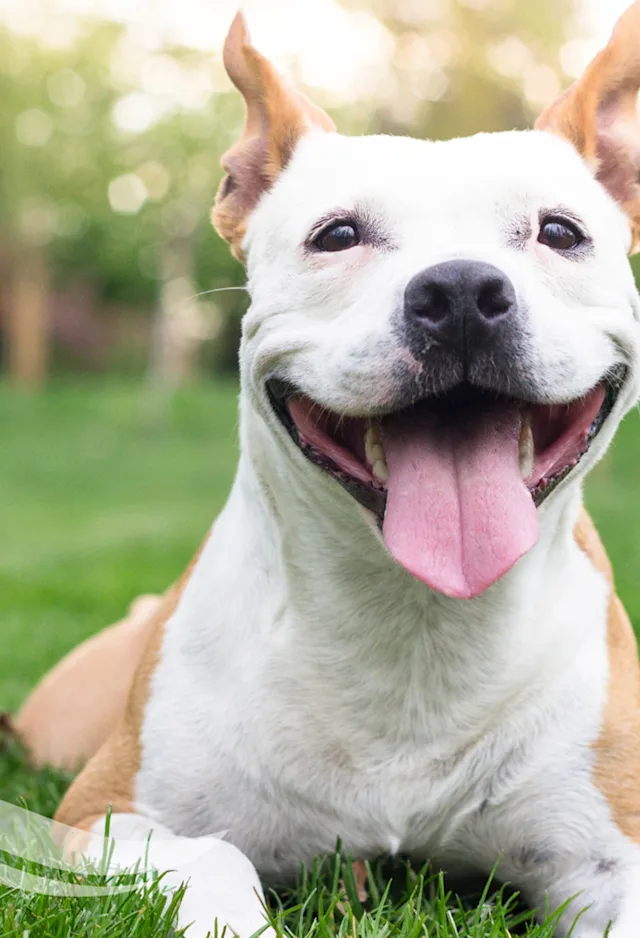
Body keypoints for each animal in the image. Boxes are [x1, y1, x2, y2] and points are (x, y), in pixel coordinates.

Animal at [13, 3, 640, 932]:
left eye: (560, 232)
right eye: (338, 234)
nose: (460, 291)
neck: (416, 621)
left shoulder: (613, 848)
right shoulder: (105, 813)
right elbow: (216, 857)